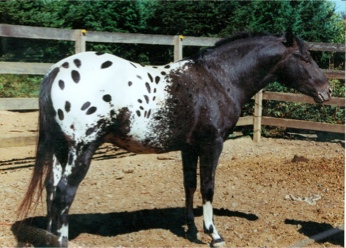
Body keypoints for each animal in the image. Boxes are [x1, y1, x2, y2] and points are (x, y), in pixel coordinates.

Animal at [17, 30, 332, 246]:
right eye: (305, 57)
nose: (327, 91)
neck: (219, 79)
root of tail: (57, 70)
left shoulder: (189, 148)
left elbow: (189, 185)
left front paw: (190, 228)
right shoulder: (212, 144)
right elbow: (207, 187)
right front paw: (213, 234)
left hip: (61, 150)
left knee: (51, 190)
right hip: (82, 149)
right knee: (64, 193)